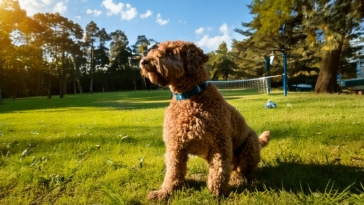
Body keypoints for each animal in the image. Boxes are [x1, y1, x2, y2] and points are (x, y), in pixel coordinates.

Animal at [139, 40, 270, 201]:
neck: (189, 97)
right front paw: (165, 192)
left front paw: (218, 191)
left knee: (244, 170)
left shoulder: (220, 144)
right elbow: (173, 172)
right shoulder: (175, 147)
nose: (143, 61)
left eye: (169, 52)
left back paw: (237, 179)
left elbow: (219, 169)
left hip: (250, 145)